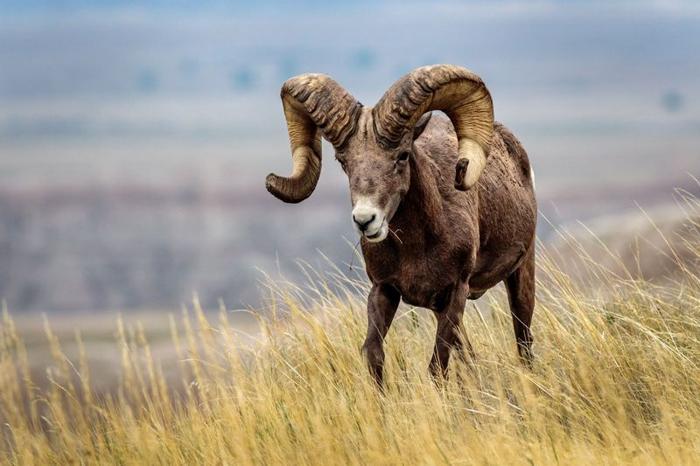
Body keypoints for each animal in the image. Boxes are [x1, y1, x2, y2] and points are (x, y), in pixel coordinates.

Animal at [265, 65, 537, 384]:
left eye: (402, 156)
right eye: (343, 162)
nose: (365, 220)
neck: (417, 249)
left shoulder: (456, 292)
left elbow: (437, 366)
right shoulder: (384, 290)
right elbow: (373, 354)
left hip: (521, 274)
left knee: (523, 339)